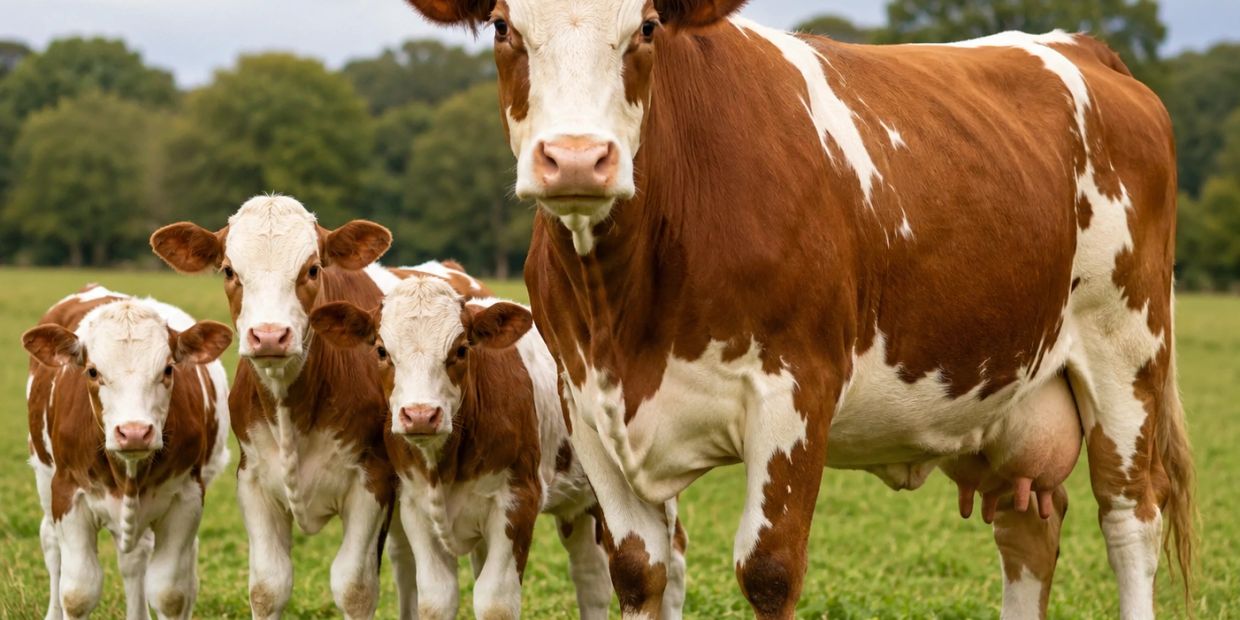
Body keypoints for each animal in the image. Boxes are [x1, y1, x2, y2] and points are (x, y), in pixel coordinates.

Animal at [23, 285, 232, 620]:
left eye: (168, 369)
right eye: (92, 371)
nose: (134, 432)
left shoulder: (187, 498)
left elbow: (170, 592)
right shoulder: (69, 494)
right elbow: (78, 593)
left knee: (141, 559)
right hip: (44, 475)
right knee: (51, 543)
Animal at [150, 195, 405, 619]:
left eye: (313, 269)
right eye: (229, 270)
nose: (269, 335)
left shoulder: (373, 480)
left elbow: (355, 587)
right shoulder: (253, 479)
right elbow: (269, 585)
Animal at [309, 275, 612, 619]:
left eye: (461, 349)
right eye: (382, 350)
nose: (421, 415)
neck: (444, 466)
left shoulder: (519, 502)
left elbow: (495, 603)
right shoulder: (416, 505)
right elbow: (437, 600)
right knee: (590, 575)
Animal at [400, 1, 1195, 618]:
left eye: (648, 25)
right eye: (503, 26)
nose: (573, 158)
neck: (625, 305)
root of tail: (1078, 46)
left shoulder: (794, 391)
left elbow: (769, 572)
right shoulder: (588, 404)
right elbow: (638, 571)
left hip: (1127, 356)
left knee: (1129, 521)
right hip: (1013, 397)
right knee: (1028, 530)